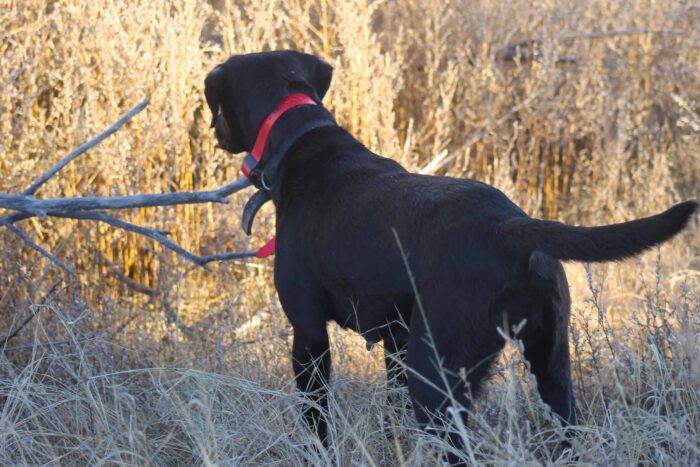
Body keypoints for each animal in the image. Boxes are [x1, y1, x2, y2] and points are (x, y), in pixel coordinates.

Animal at [205, 51, 696, 458]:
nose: (214, 132)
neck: (301, 140)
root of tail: (508, 227)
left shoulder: (308, 334)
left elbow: (317, 419)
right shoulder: (396, 342)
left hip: (437, 376)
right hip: (551, 363)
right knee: (566, 427)